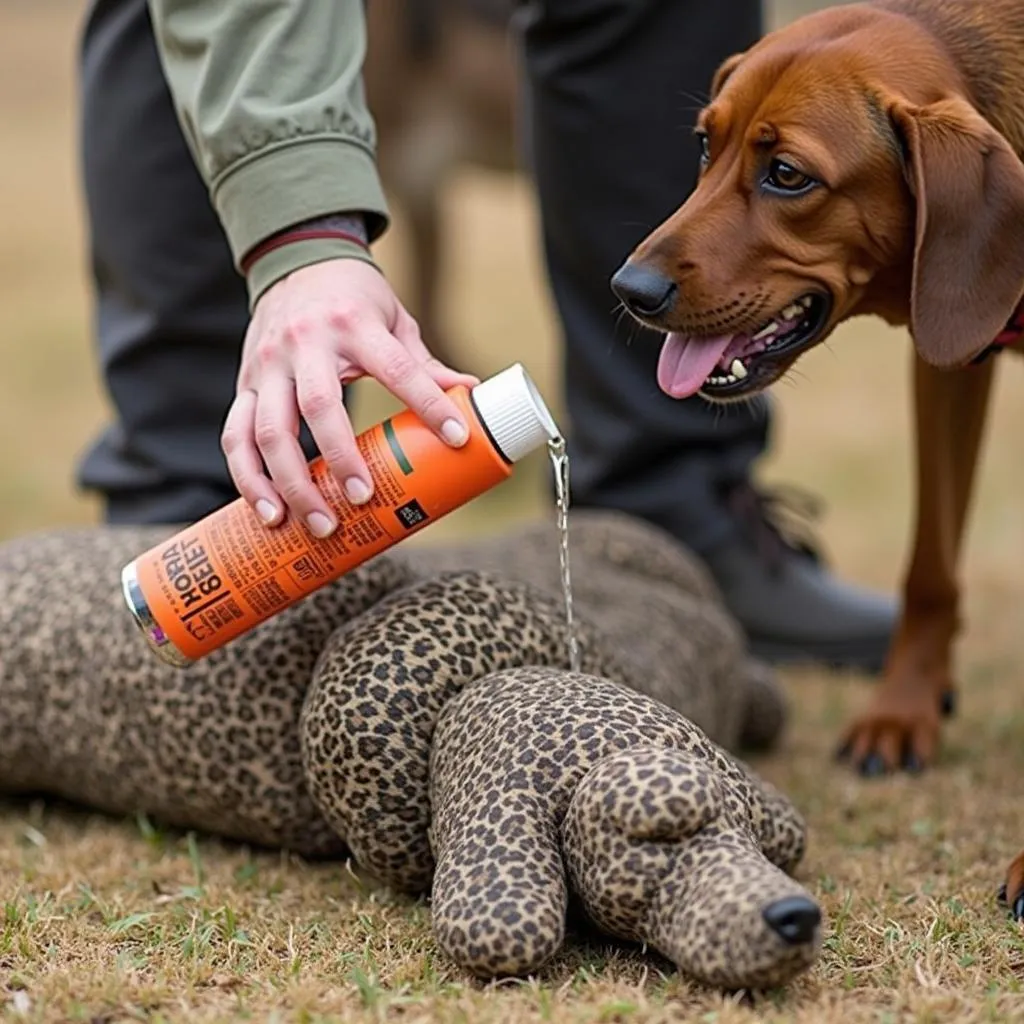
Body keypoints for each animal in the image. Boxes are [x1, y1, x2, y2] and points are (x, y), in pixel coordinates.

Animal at [606, 0, 1024, 921]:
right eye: (705, 145)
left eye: (789, 175)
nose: (630, 290)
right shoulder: (950, 352)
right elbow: (928, 568)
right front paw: (902, 713)